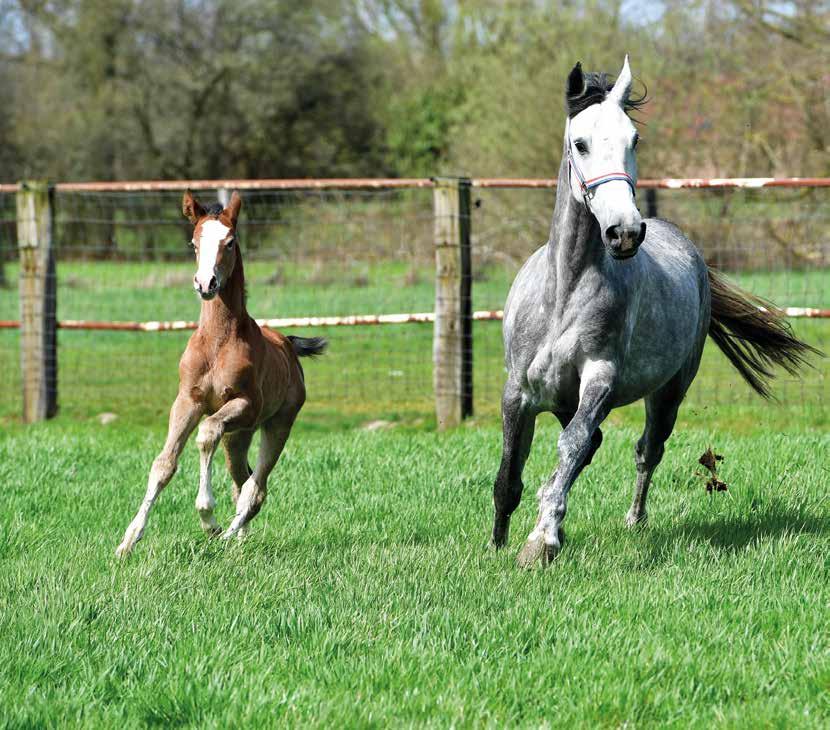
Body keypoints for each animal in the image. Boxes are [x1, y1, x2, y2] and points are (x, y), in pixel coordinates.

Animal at [117, 191, 324, 556]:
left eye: (230, 242)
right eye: (194, 242)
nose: (205, 283)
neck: (216, 342)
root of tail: (288, 344)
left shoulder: (245, 405)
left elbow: (206, 433)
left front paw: (208, 517)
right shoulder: (188, 401)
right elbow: (163, 464)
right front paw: (129, 539)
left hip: (277, 423)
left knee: (255, 487)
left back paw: (226, 535)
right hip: (238, 436)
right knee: (243, 480)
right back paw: (238, 540)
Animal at [490, 58, 824, 568]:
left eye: (634, 140)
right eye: (580, 143)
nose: (625, 232)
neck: (562, 294)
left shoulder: (601, 380)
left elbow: (570, 447)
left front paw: (541, 541)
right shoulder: (518, 392)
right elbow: (510, 474)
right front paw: (499, 543)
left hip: (668, 392)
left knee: (645, 450)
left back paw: (634, 520)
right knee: (593, 449)